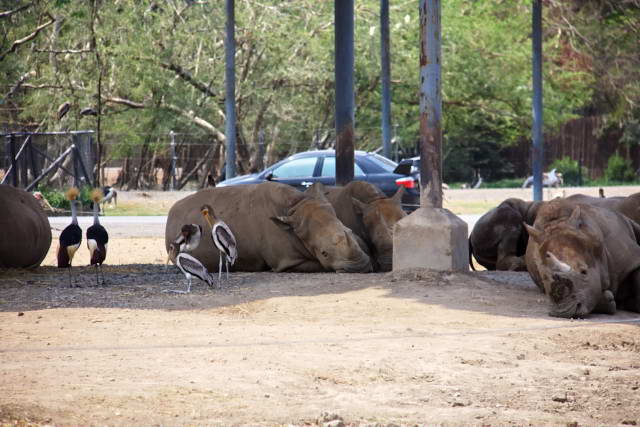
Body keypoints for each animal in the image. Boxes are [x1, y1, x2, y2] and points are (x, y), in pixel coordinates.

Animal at [168, 182, 372, 272]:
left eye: (352, 233)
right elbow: (319, 266)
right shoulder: (287, 262)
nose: (360, 267)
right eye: (324, 253)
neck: (295, 207)